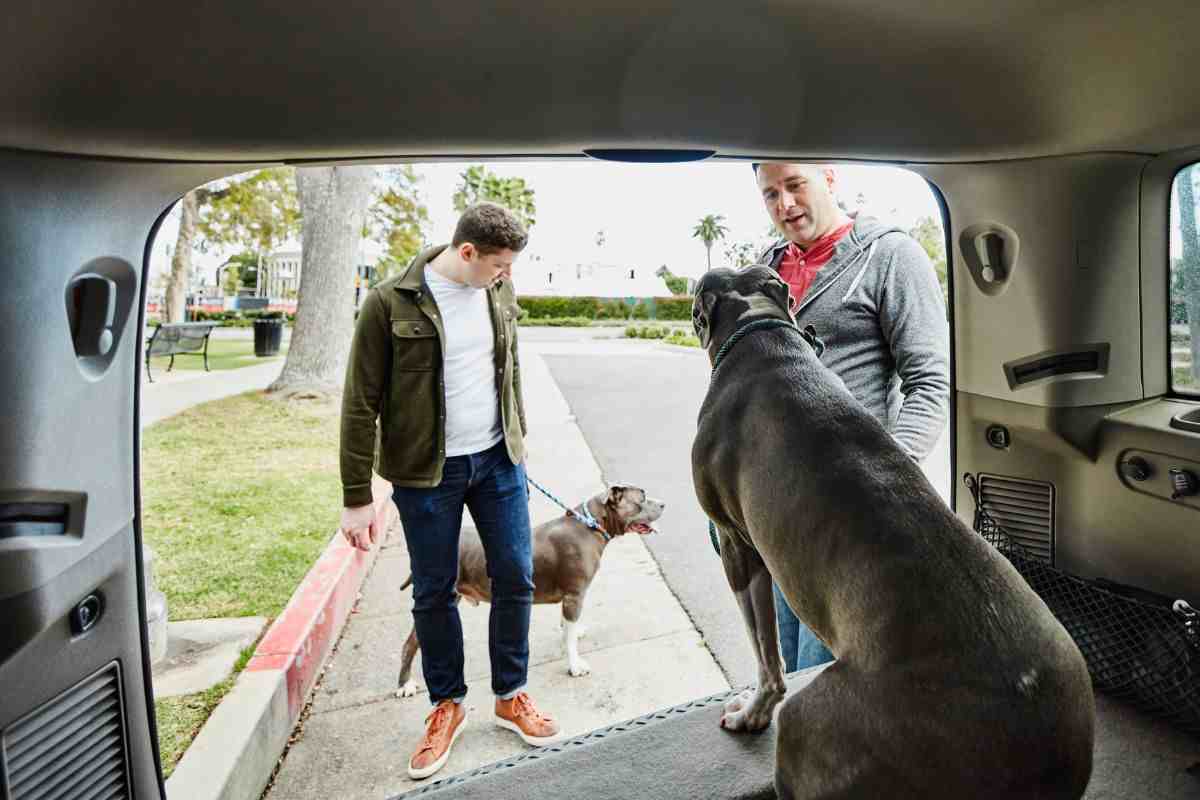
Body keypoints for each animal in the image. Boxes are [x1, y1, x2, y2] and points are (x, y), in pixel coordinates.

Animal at [400, 482, 667, 695]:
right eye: (642, 498)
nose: (664, 503)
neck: (591, 525)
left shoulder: (569, 598)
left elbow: (567, 628)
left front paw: (571, 633)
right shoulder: (574, 596)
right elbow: (570, 638)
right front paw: (575, 666)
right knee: (411, 643)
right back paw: (405, 686)